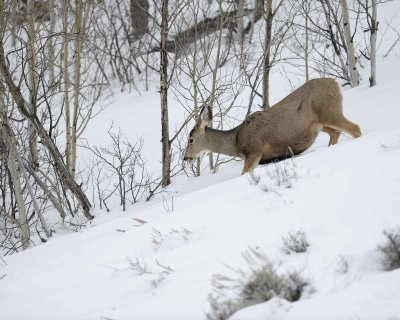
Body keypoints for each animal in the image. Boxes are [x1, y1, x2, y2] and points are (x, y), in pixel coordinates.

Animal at [184, 77, 362, 174]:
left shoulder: (254, 151)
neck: (235, 143)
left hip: (329, 111)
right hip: (320, 123)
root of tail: (336, 83)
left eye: (190, 139)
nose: (186, 157)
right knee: (336, 133)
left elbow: (244, 173)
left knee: (355, 128)